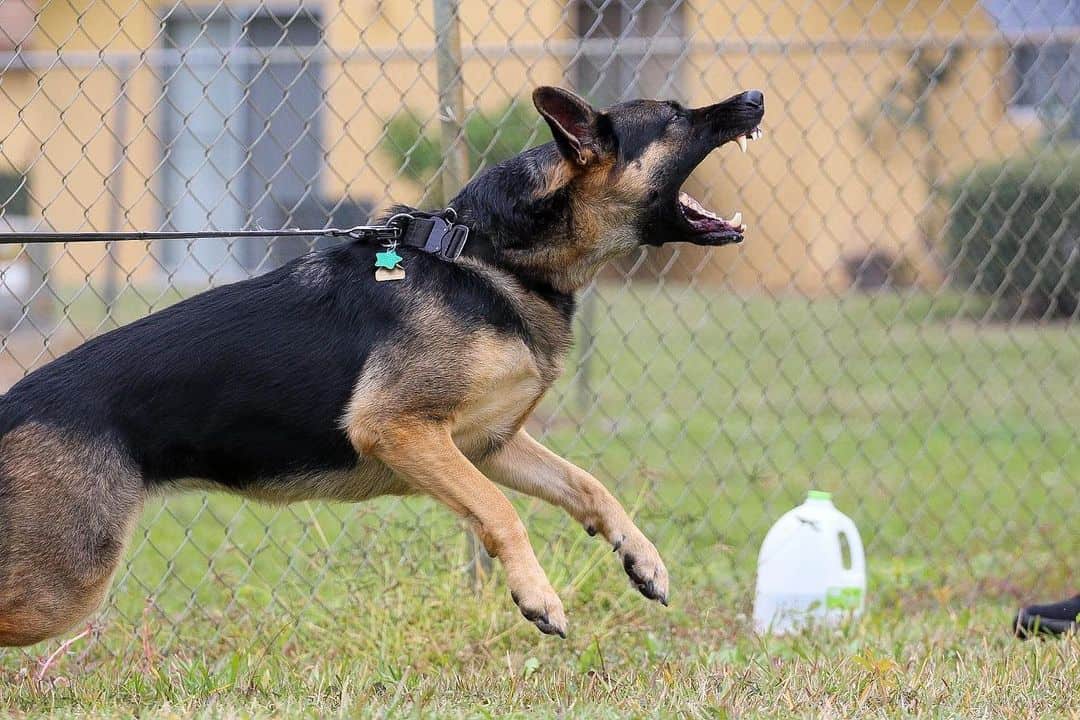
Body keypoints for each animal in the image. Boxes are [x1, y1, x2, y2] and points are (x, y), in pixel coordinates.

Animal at [0, 84, 760, 643]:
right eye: (674, 117)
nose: (754, 97)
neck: (485, 255)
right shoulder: (400, 430)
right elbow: (501, 512)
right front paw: (537, 596)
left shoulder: (486, 445)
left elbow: (589, 487)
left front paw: (642, 558)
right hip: (64, 585)